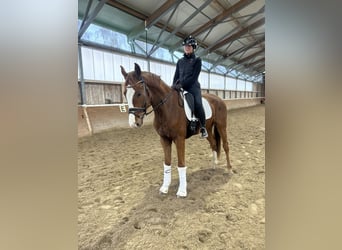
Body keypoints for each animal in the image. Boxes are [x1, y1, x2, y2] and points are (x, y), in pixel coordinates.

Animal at [120, 62, 232, 197]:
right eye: (125, 93)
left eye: (139, 93)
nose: (133, 123)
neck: (167, 108)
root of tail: (219, 99)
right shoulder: (164, 139)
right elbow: (167, 163)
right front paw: (164, 188)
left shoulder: (179, 139)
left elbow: (181, 164)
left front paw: (182, 191)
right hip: (208, 129)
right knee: (214, 144)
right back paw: (214, 165)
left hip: (221, 126)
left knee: (225, 145)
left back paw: (229, 169)